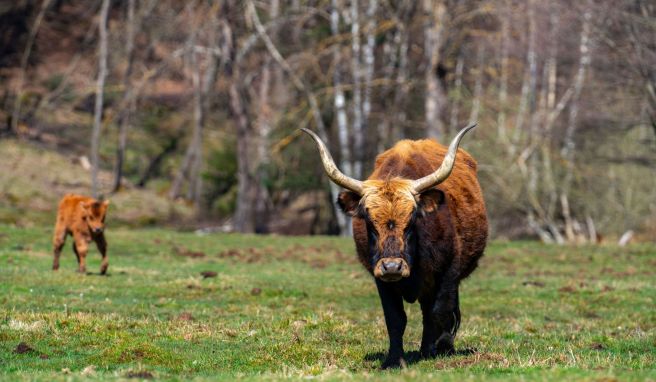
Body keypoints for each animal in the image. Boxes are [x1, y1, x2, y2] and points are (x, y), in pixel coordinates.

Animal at [302, 124, 486, 368]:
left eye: (412, 220)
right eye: (369, 222)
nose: (392, 267)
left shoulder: (448, 272)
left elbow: (439, 311)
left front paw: (437, 348)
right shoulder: (381, 279)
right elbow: (395, 319)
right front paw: (393, 359)